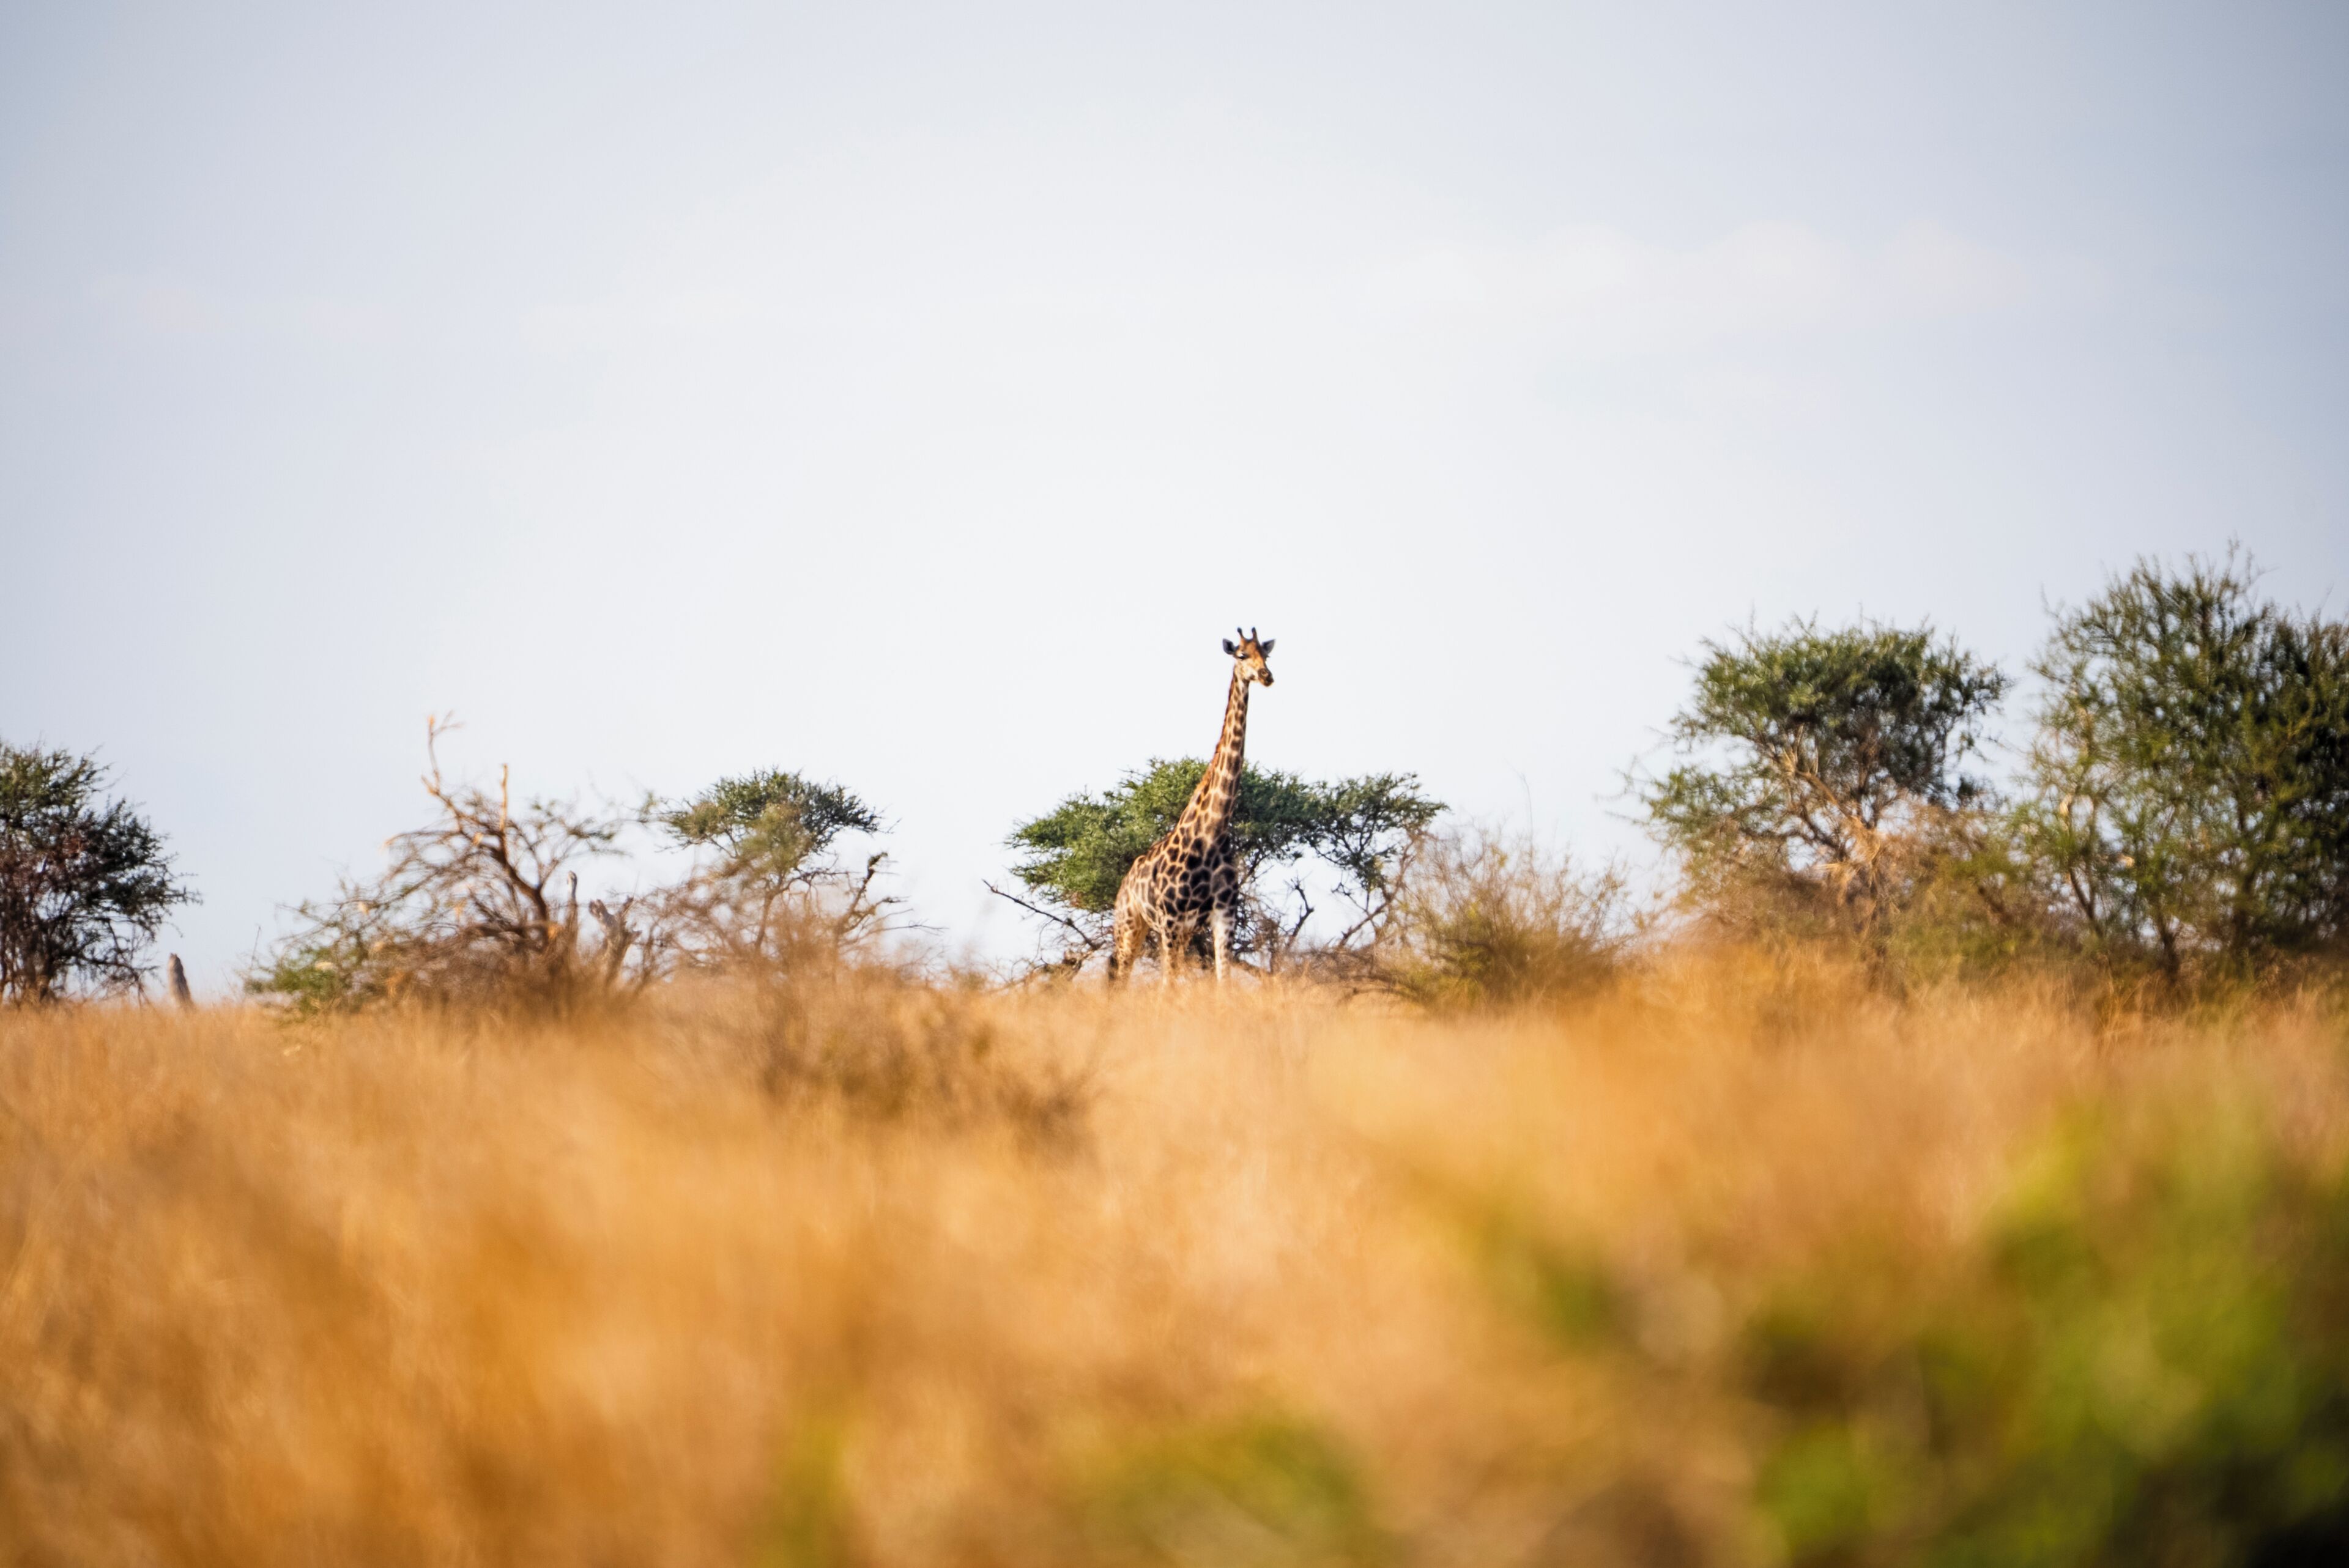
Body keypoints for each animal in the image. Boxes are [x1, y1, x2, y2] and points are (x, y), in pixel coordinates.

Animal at [1109, 628, 1276, 986]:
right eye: (1241, 655)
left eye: (1266, 655)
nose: (1266, 676)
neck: (1212, 833)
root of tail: (1124, 882)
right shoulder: (1172, 920)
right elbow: (1168, 988)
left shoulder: (1224, 915)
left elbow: (1223, 983)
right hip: (1131, 925)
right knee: (1121, 978)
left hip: (1173, 932)